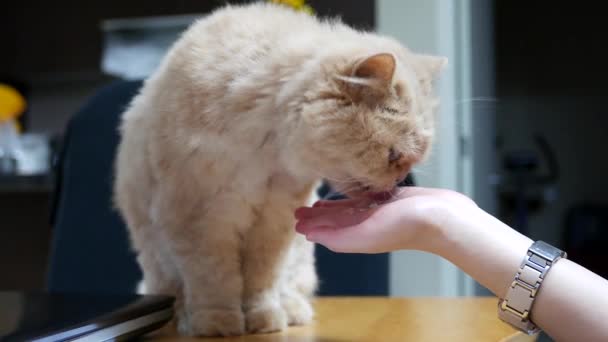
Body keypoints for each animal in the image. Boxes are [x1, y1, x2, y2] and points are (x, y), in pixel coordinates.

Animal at [115, 2, 446, 336]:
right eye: (394, 156)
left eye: (411, 160)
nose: (400, 180)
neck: (265, 150)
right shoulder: (202, 219)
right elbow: (214, 281)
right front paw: (220, 324)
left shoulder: (273, 220)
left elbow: (260, 284)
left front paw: (264, 322)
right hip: (158, 261)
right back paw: (186, 321)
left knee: (290, 289)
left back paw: (291, 311)